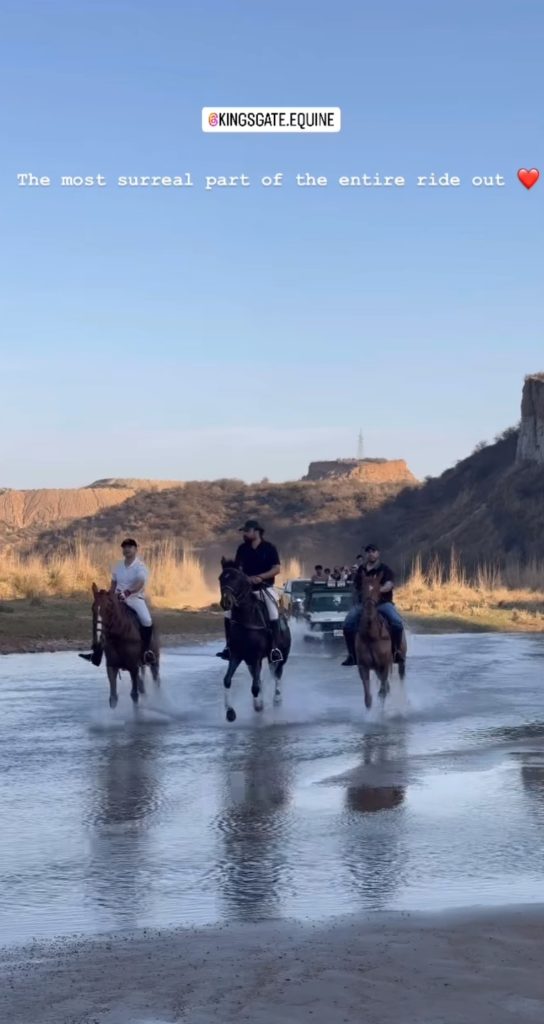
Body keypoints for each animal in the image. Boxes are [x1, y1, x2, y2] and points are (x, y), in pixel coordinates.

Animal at [356, 577, 405, 712]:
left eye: (378, 589)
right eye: (362, 588)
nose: (369, 609)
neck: (371, 635)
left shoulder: (384, 666)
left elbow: (382, 693)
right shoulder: (363, 666)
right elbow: (368, 699)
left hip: (400, 661)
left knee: (401, 678)